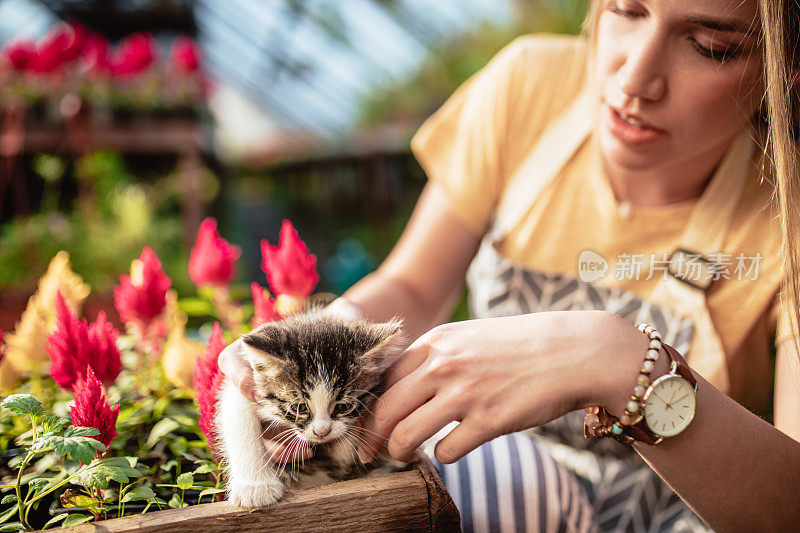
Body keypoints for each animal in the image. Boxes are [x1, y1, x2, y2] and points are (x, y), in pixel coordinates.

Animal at [216, 310, 406, 504]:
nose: (321, 432)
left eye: (343, 407)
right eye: (299, 408)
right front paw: (255, 486)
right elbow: (240, 425)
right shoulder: (244, 390)